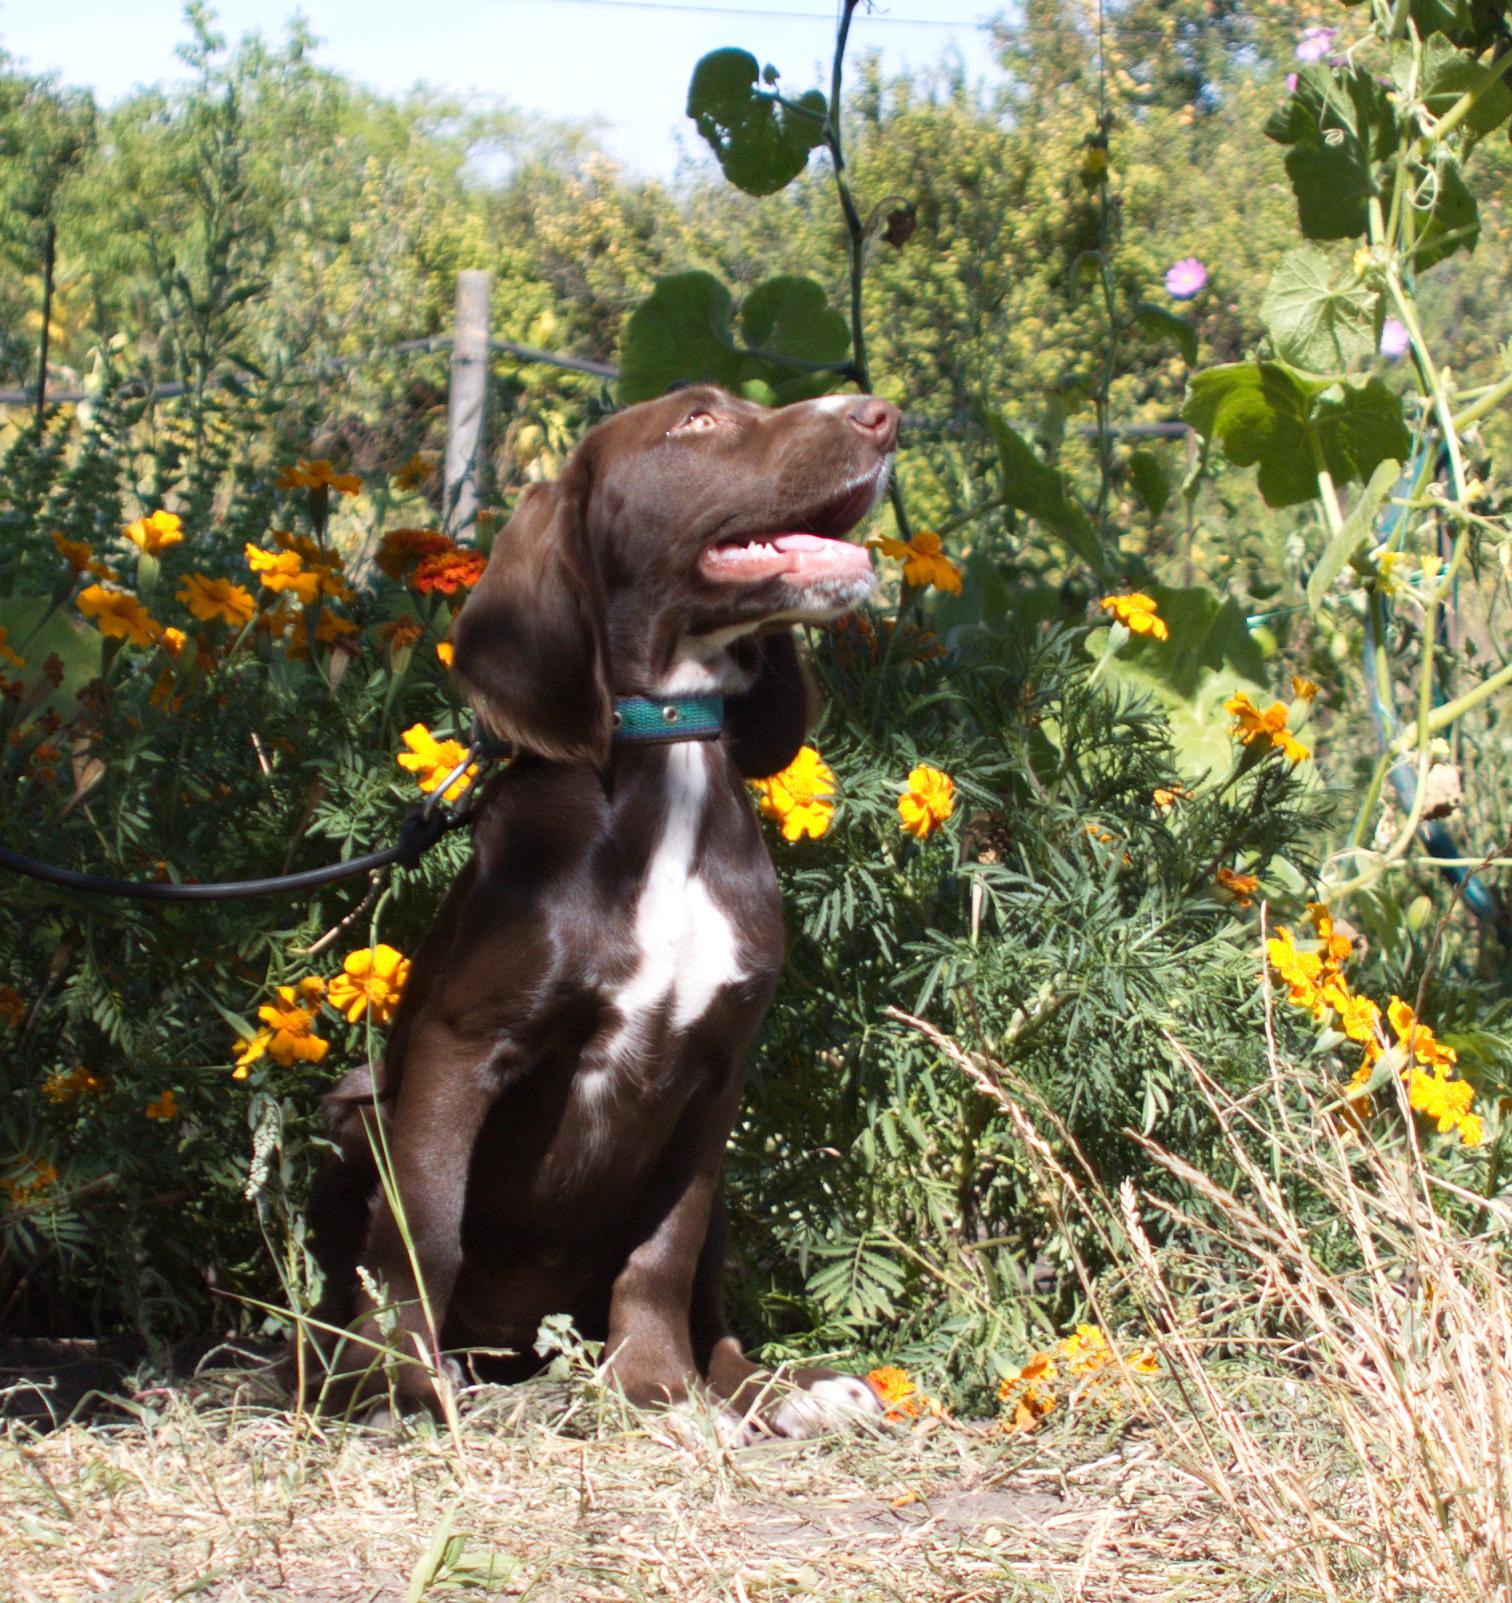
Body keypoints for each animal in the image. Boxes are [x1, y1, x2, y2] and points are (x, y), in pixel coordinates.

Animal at [307, 381, 897, 1436]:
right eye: (698, 419)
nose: (880, 412)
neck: (668, 748)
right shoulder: (464, 1044)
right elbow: (425, 1229)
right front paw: (403, 1392)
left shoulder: (718, 1073)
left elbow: (665, 1250)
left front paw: (655, 1385)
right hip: (353, 1105)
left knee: (711, 1300)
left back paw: (782, 1389)